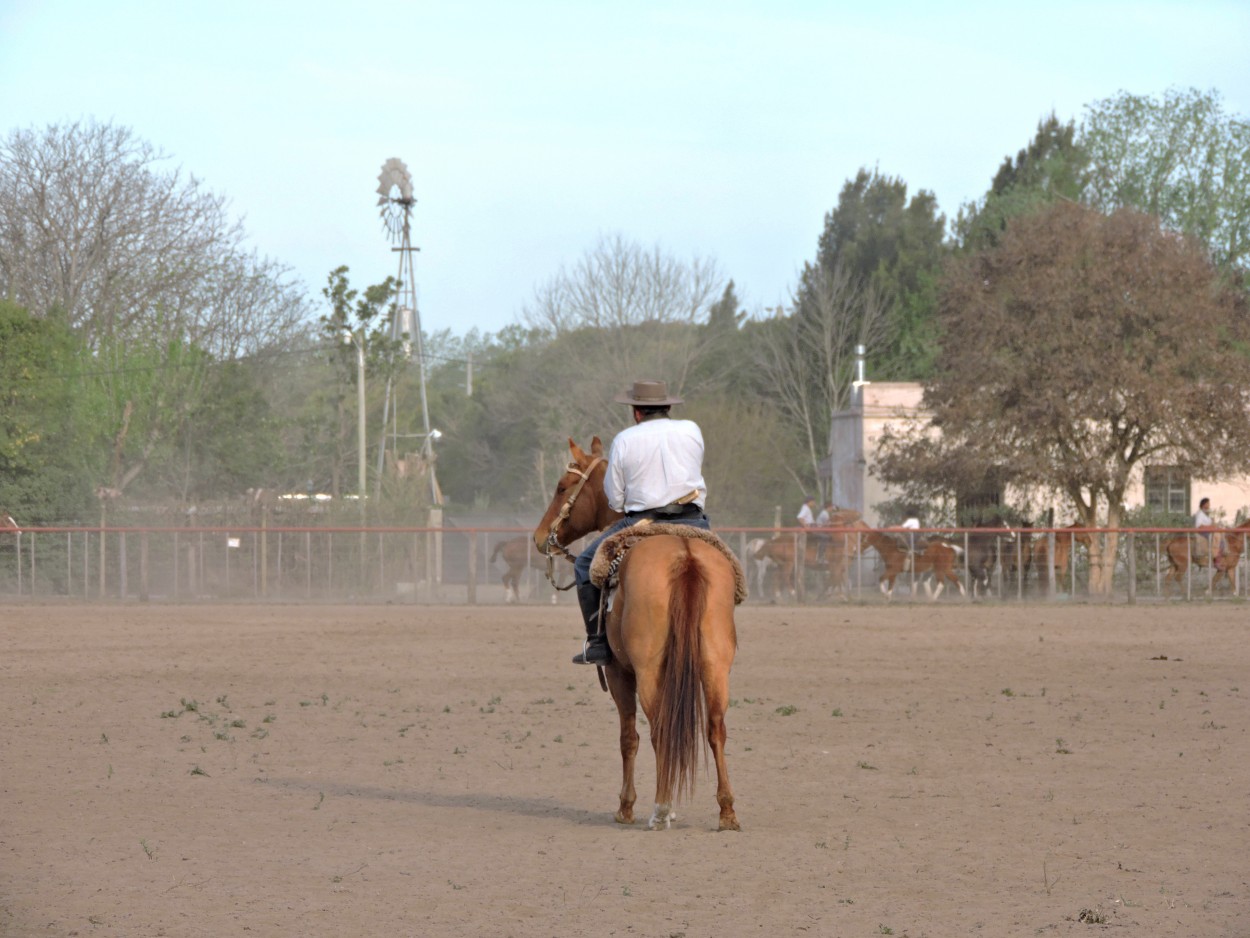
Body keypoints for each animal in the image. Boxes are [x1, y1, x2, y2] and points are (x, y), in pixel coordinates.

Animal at [530, 437, 740, 835]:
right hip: (715, 664)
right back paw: (726, 812)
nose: (539, 537)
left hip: (647, 671)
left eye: (563, 487)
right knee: (715, 728)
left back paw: (660, 809)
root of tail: (685, 556)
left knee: (659, 729)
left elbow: (629, 738)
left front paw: (626, 807)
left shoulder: (618, 673)